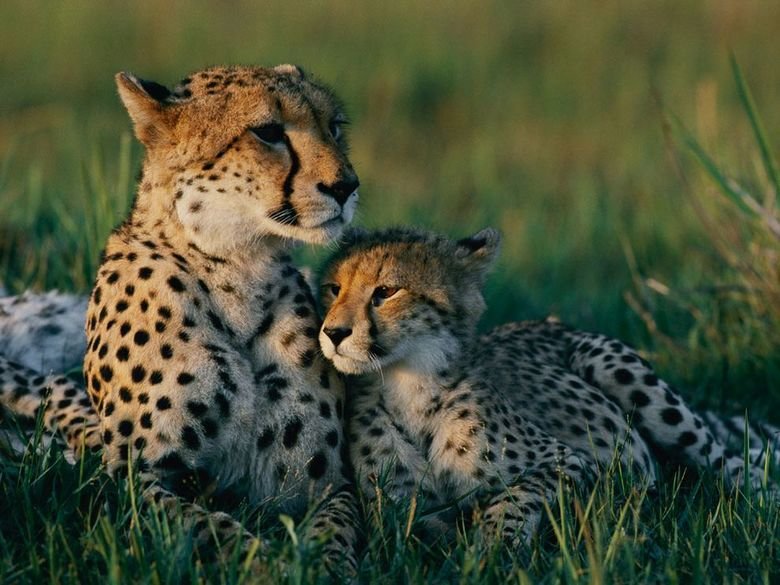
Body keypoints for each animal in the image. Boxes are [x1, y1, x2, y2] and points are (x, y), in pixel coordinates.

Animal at [0, 64, 362, 574]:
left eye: (334, 127)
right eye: (269, 132)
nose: (346, 187)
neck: (239, 270)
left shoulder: (323, 483)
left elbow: (337, 533)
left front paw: (319, 565)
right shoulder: (134, 483)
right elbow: (212, 527)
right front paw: (269, 565)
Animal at [317, 226, 778, 548]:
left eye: (386, 291)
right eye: (333, 289)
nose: (333, 333)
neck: (406, 384)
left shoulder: (581, 467)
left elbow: (517, 495)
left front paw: (490, 547)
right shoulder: (396, 513)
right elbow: (416, 527)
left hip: (619, 371)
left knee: (734, 465)